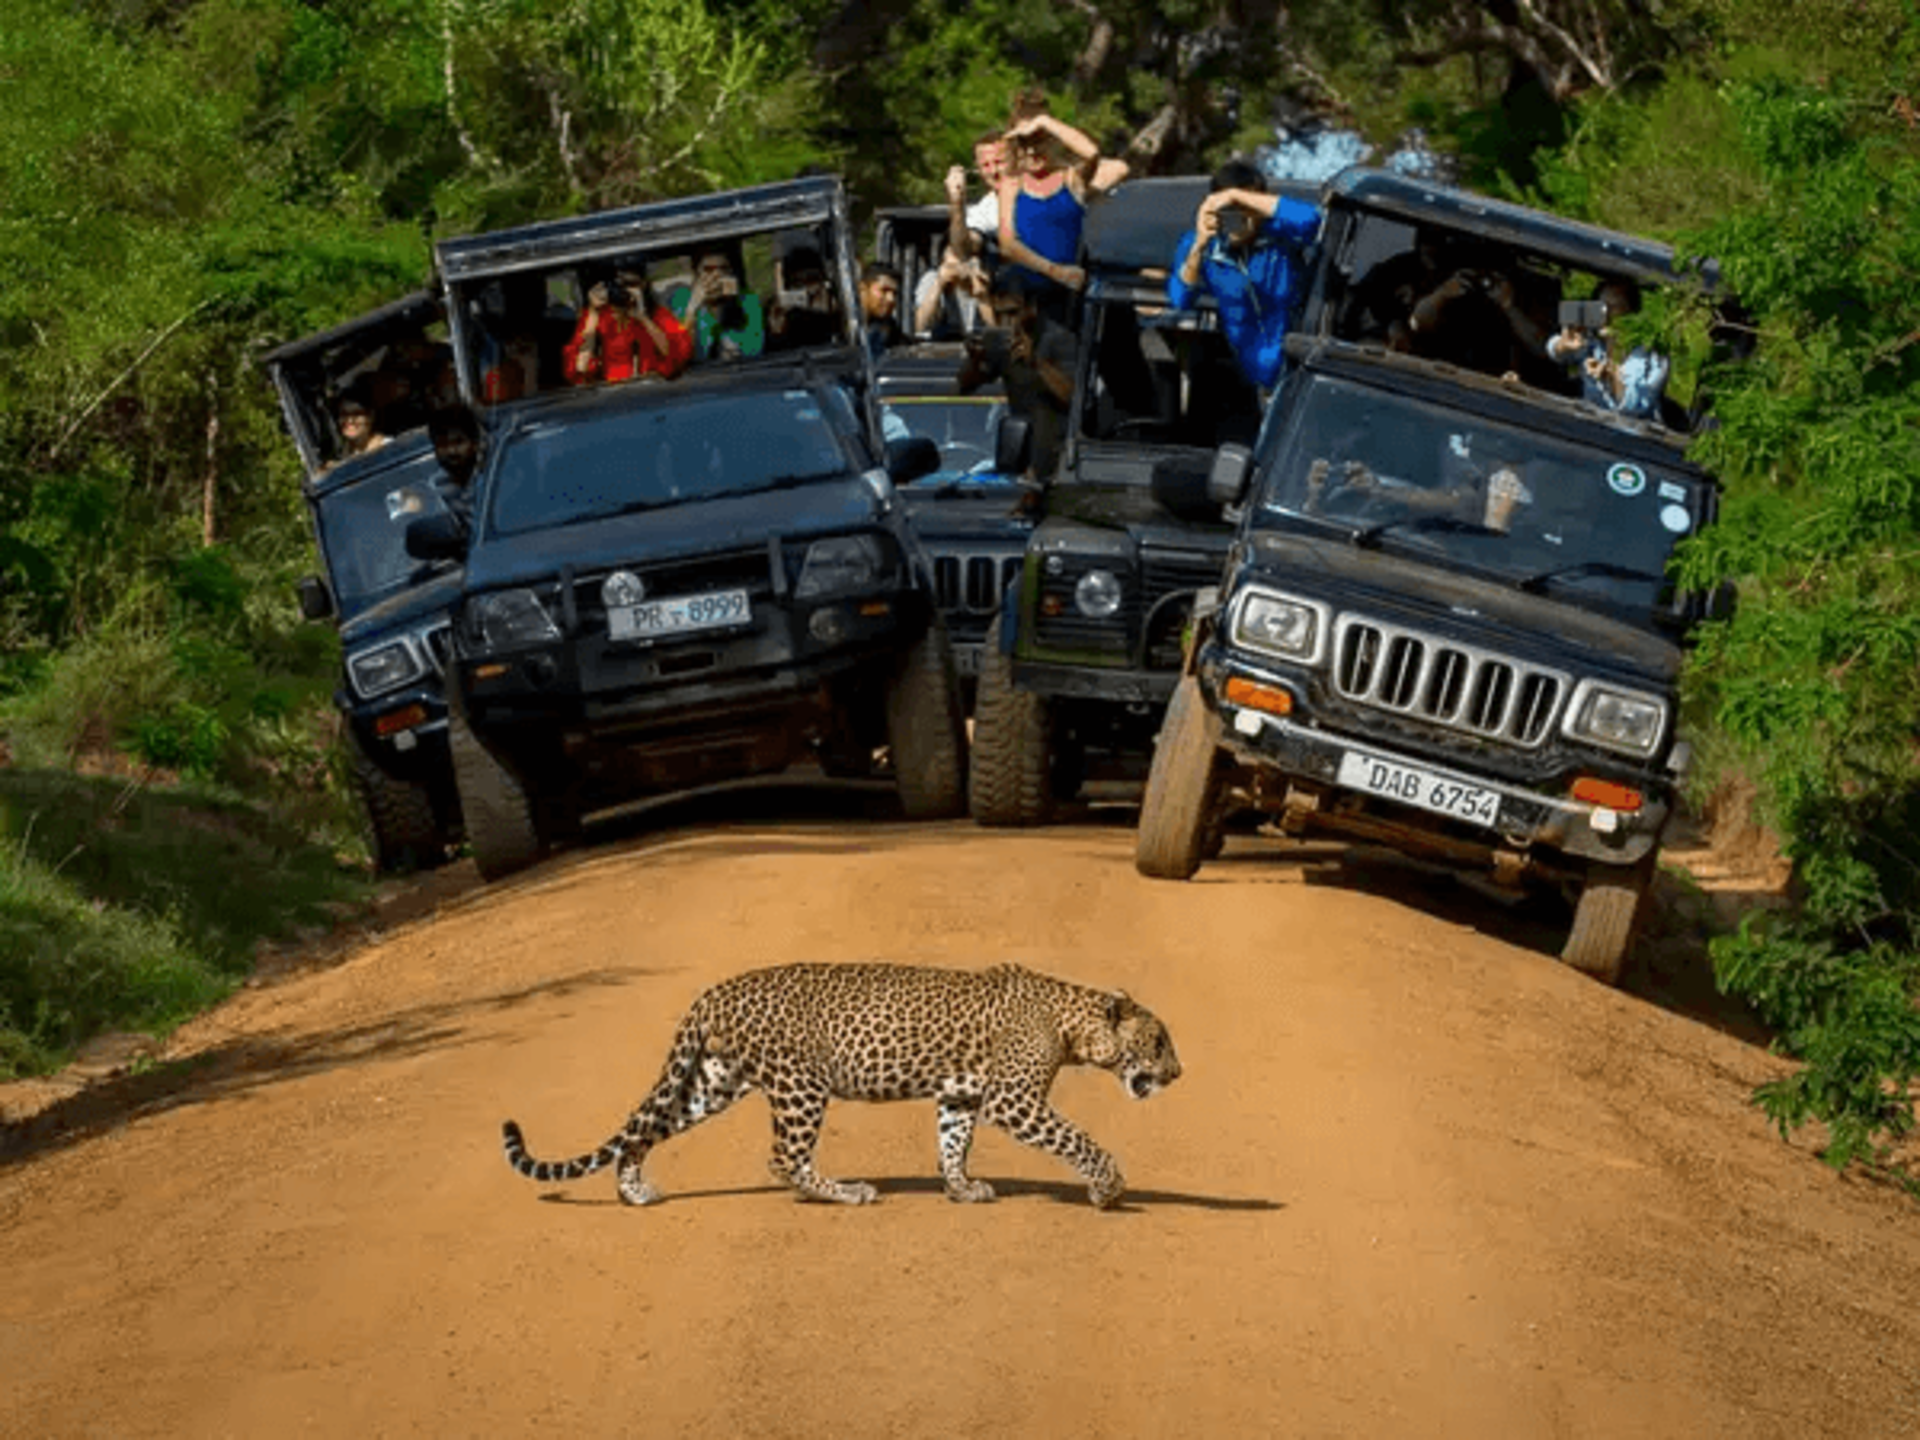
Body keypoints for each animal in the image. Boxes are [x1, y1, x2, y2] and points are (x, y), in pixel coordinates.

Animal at [501, 961, 1182, 1209]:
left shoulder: (961, 1094)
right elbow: (1079, 1140)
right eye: (1158, 1042)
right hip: (801, 1085)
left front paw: (961, 1188)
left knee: (644, 1128)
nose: (1178, 1073)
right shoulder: (1014, 1100)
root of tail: (714, 990)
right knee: (784, 1158)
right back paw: (847, 1192)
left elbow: (952, 1142)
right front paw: (1107, 1188)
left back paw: (634, 1190)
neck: (1073, 1024)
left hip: (714, 1081)